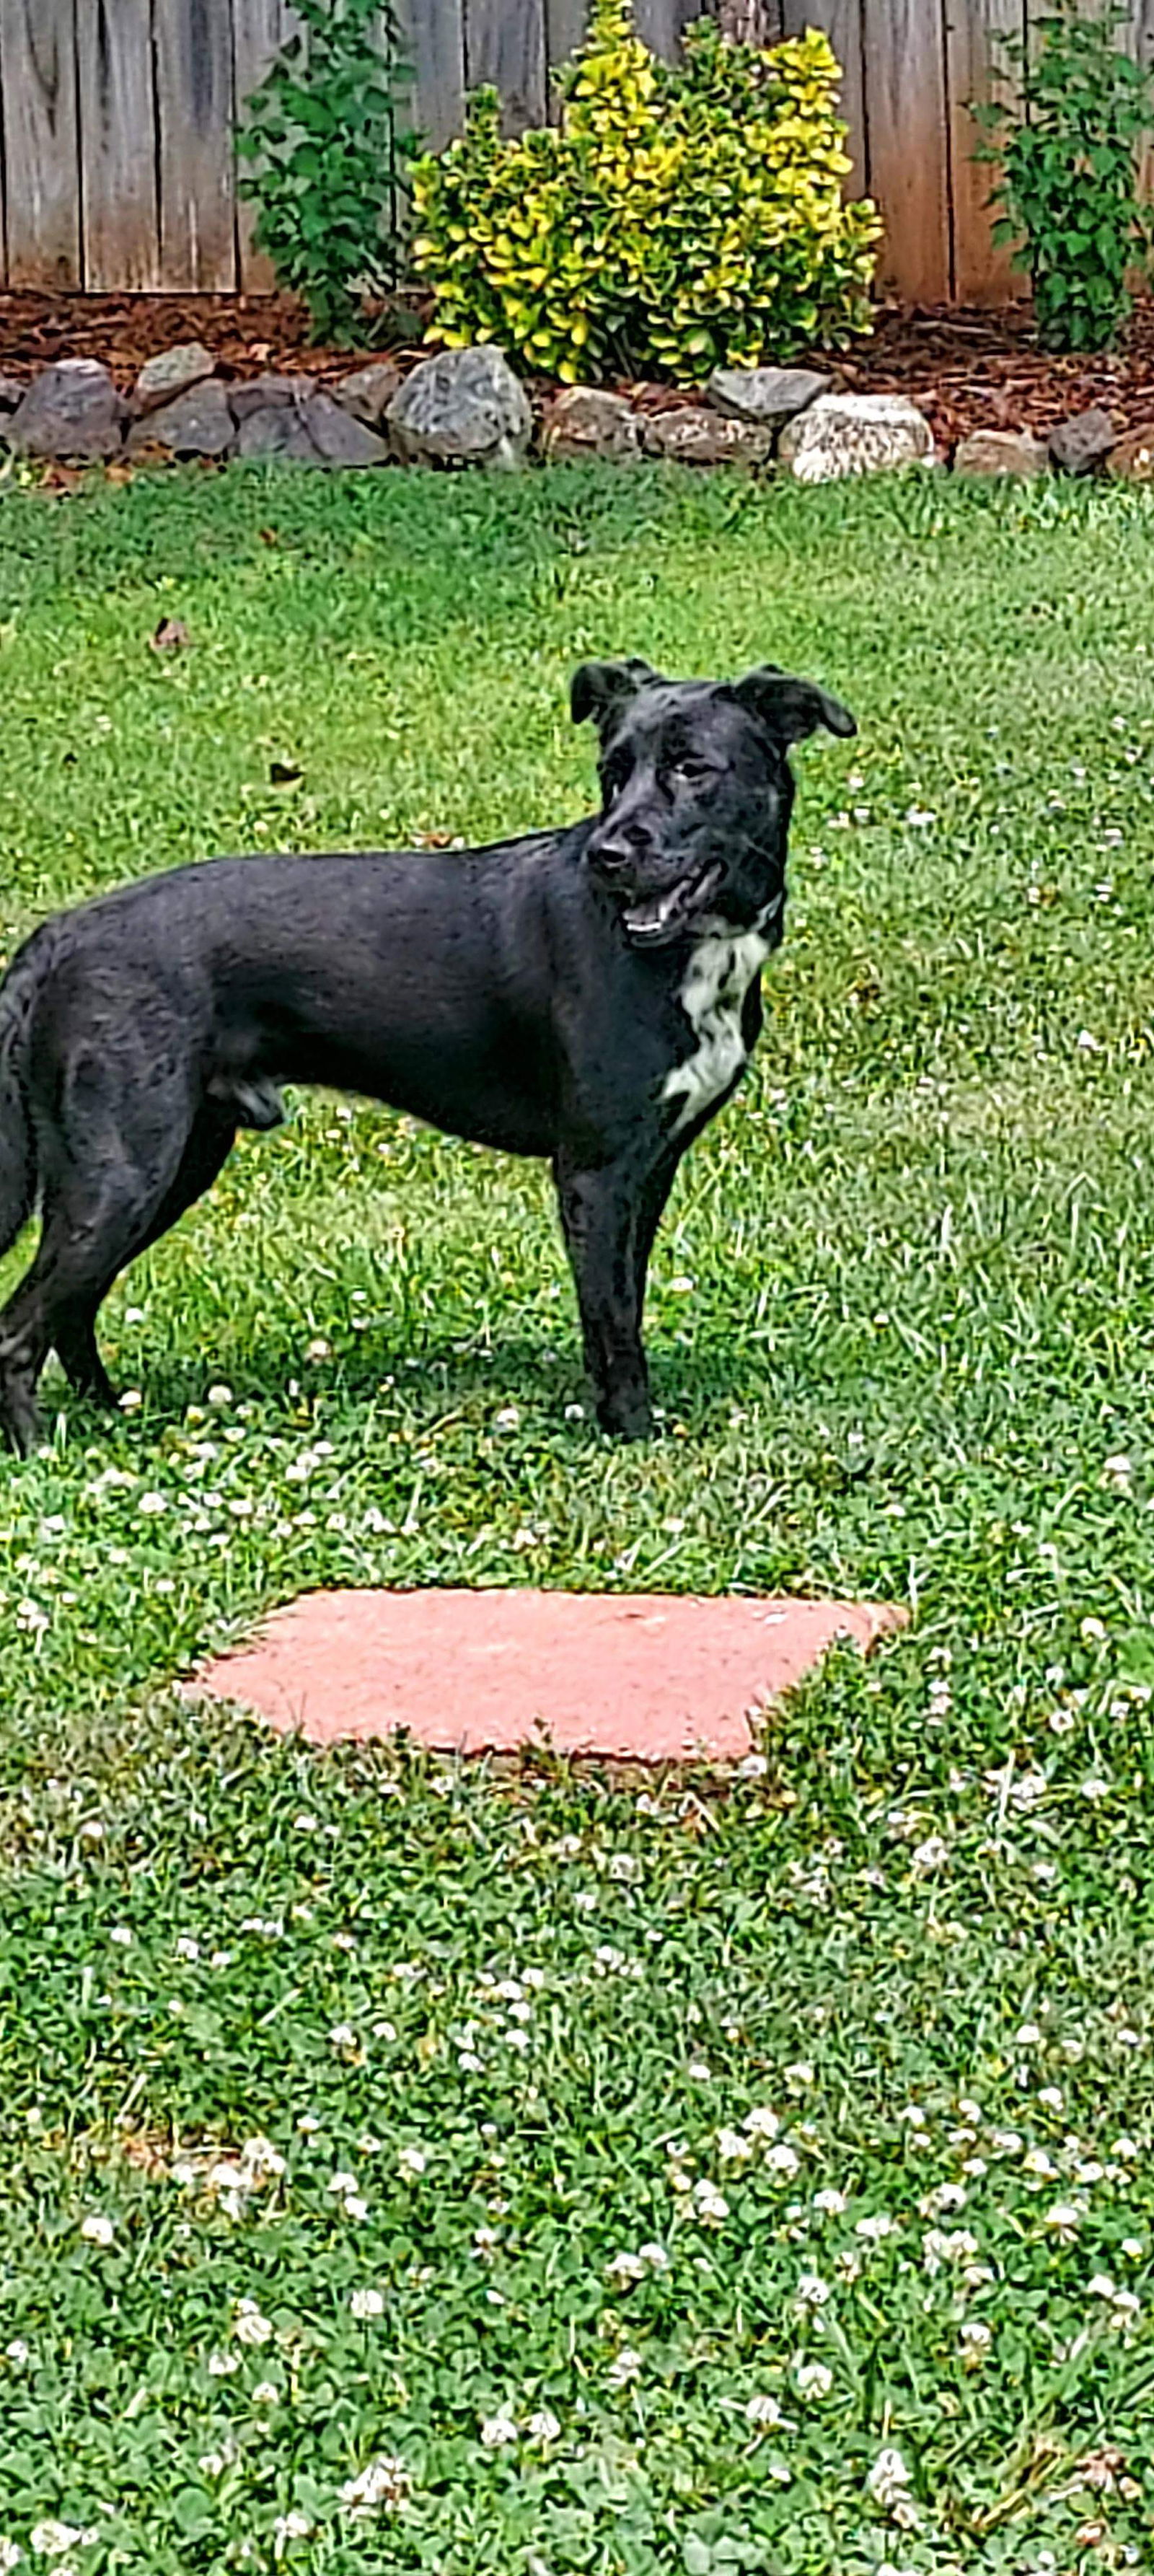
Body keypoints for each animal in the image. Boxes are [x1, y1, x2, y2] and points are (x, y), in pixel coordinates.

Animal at [0, 654, 850, 1463]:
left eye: (692, 768)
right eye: (612, 771)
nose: (608, 854)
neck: (693, 954)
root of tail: (59, 934)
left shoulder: (651, 1166)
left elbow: (622, 1309)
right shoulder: (595, 1172)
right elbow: (612, 1326)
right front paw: (633, 1437)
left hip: (174, 1164)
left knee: (70, 1311)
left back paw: (112, 1416)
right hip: (120, 1173)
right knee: (19, 1327)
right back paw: (40, 1451)